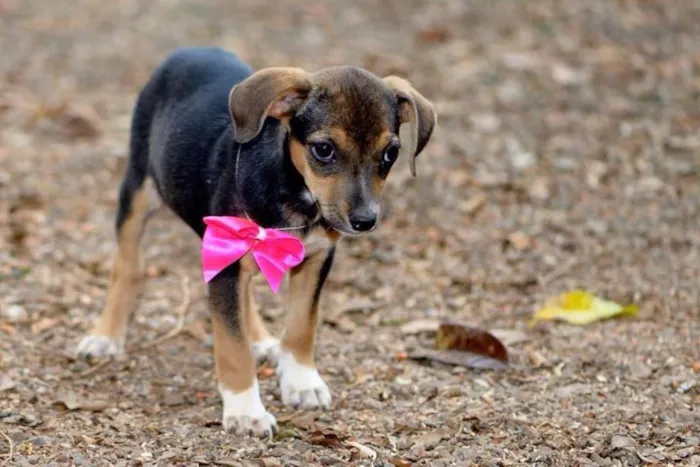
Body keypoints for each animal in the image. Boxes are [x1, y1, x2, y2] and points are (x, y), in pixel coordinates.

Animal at [78, 47, 438, 438]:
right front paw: (245, 410)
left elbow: (302, 324)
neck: (293, 193)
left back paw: (263, 340)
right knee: (127, 267)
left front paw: (301, 381)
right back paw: (106, 336)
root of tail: (191, 50)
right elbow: (232, 346)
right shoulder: (227, 260)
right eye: (323, 149)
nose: (365, 220)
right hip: (138, 188)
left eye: (390, 153)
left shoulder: (315, 259)